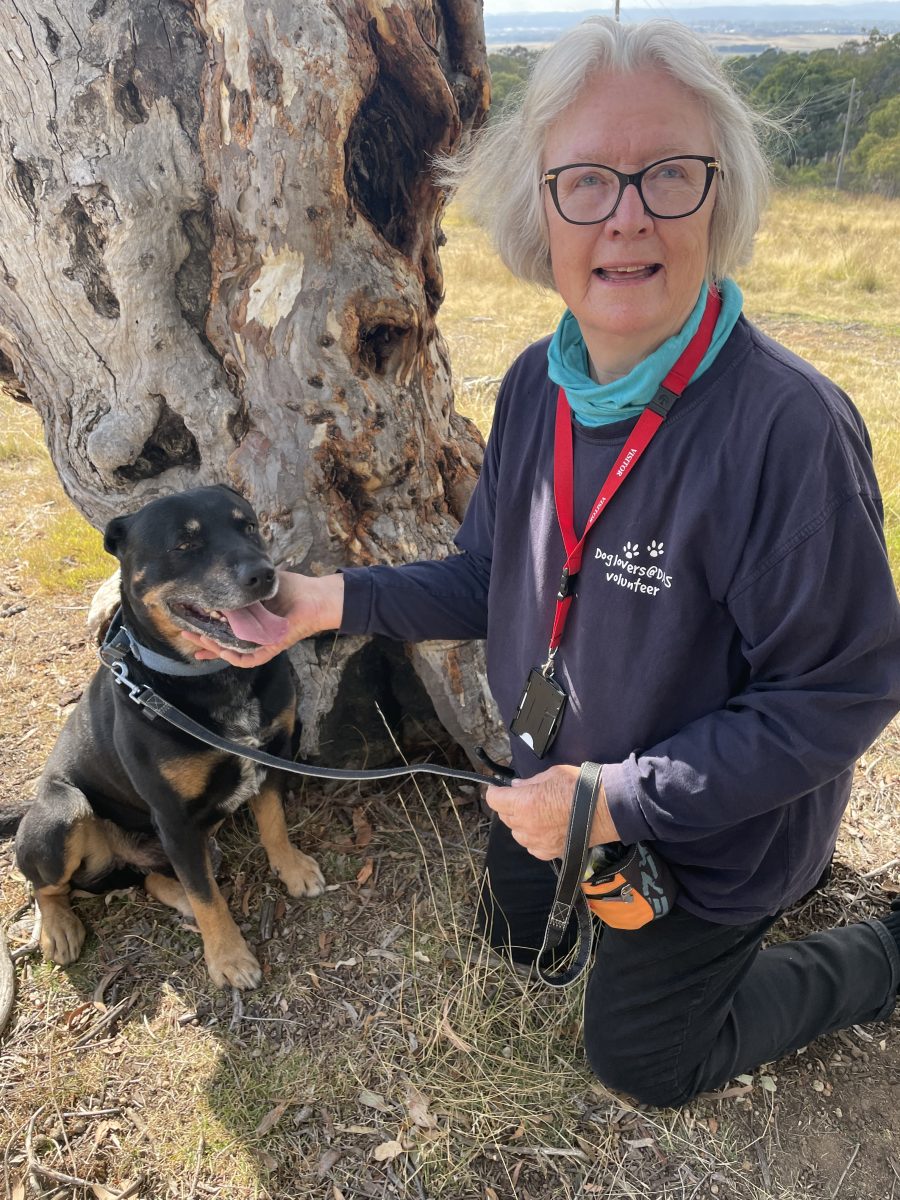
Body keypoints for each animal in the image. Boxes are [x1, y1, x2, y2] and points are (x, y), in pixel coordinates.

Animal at [15, 482, 324, 988]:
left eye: (248, 526)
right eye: (184, 544)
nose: (263, 574)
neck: (213, 677)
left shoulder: (273, 755)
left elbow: (274, 823)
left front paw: (292, 868)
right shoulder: (174, 817)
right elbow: (208, 896)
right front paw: (228, 957)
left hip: (195, 836)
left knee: (156, 878)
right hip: (64, 811)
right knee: (47, 885)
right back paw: (58, 928)